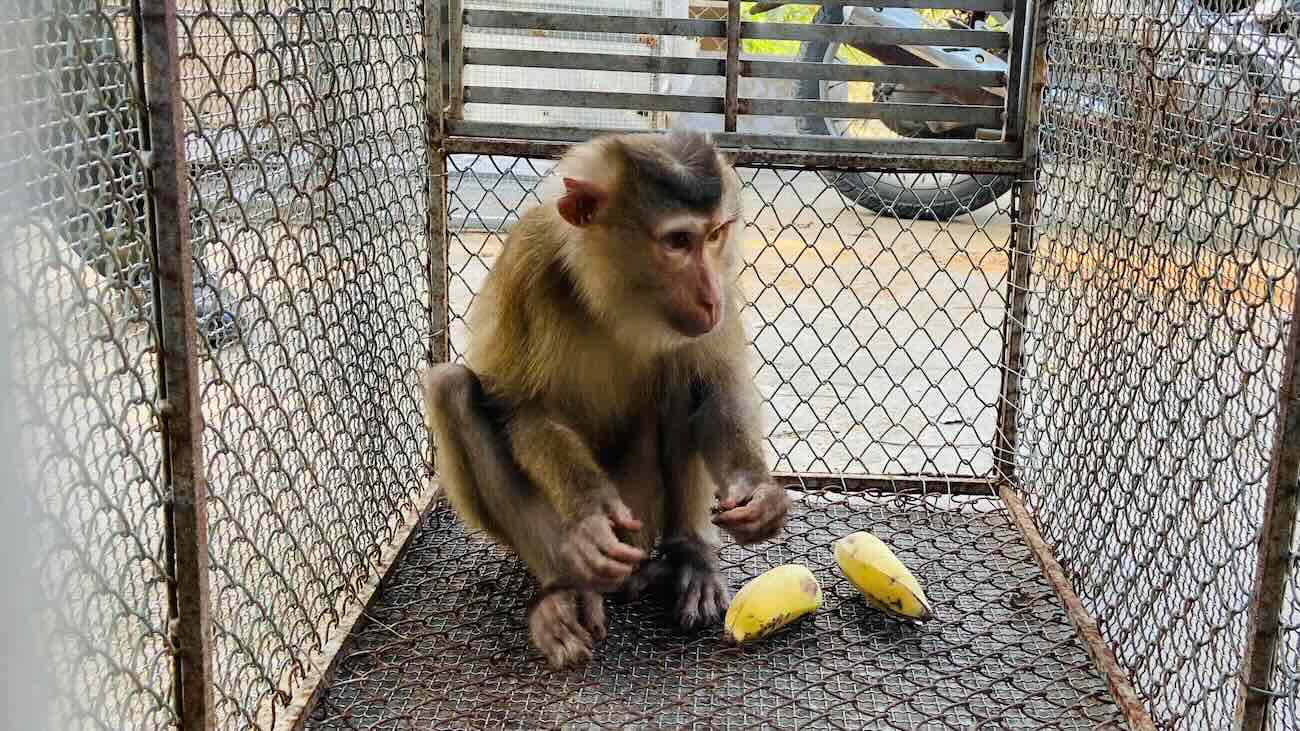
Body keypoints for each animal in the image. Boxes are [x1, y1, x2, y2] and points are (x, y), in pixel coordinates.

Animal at [422, 130, 789, 669]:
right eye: (678, 242)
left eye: (715, 235)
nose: (710, 297)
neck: (610, 298)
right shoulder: (528, 264)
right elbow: (519, 408)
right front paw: (591, 510)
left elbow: (715, 383)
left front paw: (758, 492)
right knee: (452, 389)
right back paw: (564, 591)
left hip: (643, 511)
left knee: (676, 373)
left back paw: (689, 557)